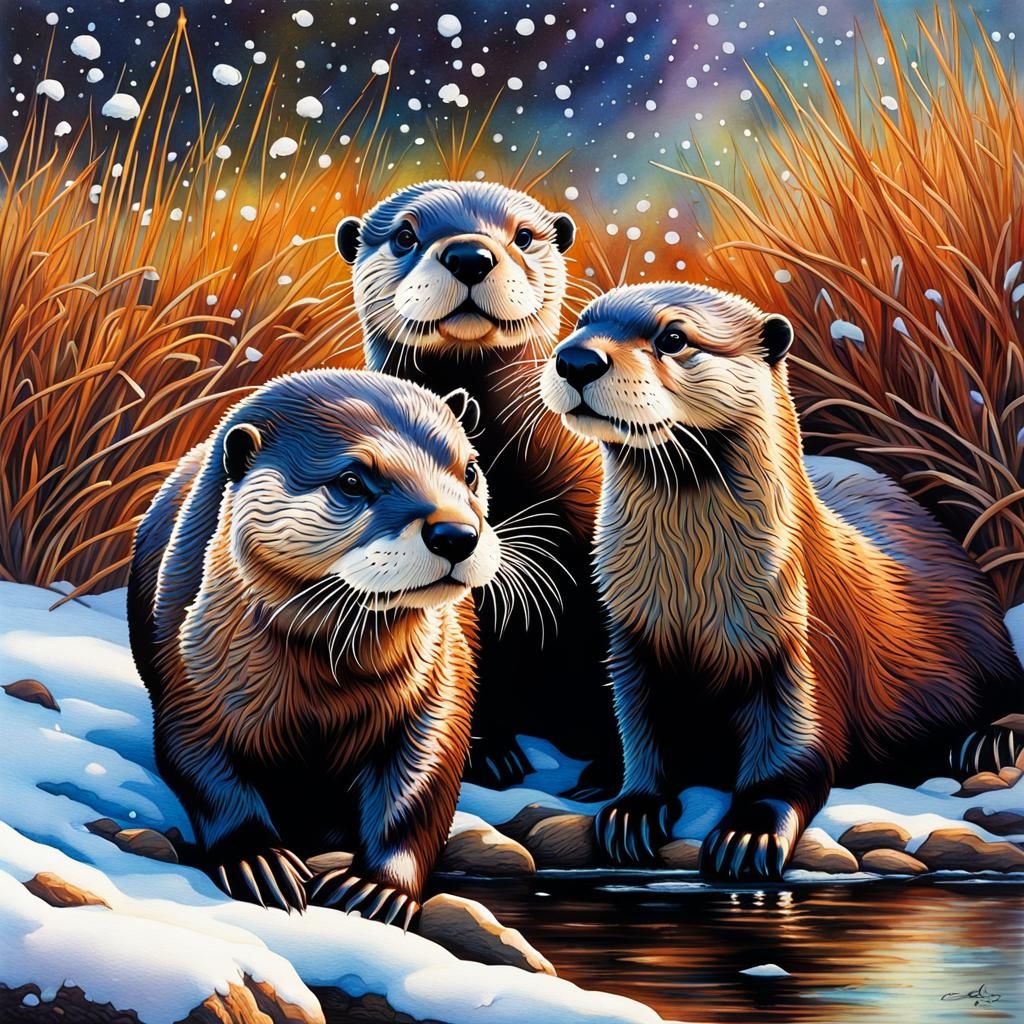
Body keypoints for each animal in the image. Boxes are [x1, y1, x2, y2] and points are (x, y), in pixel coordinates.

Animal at [128, 369, 500, 923]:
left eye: (470, 471)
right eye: (351, 481)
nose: (455, 532)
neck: (327, 686)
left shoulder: (441, 684)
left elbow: (423, 780)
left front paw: (378, 888)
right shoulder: (189, 673)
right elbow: (202, 764)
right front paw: (259, 861)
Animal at [540, 281, 1023, 881]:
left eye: (673, 337)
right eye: (581, 323)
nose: (577, 359)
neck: (695, 598)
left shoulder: (798, 640)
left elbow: (794, 751)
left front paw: (748, 833)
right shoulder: (631, 639)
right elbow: (642, 733)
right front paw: (633, 808)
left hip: (982, 630)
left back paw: (987, 742)